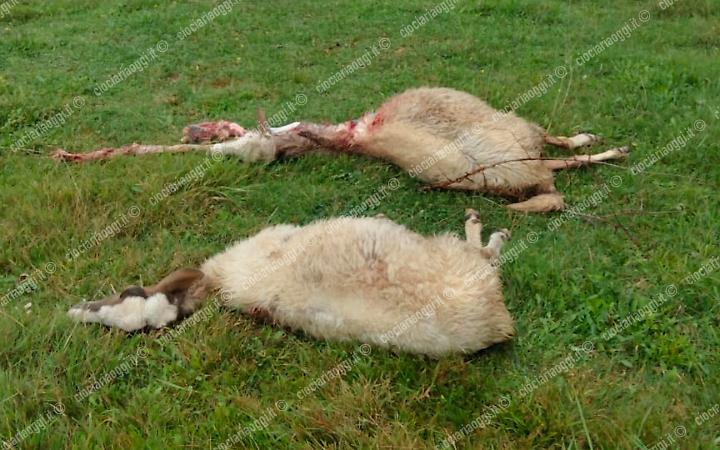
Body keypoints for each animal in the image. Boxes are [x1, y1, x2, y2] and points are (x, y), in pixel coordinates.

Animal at [67, 210, 515, 357]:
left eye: (124, 292)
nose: (75, 311)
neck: (218, 283)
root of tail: (497, 322)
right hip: (457, 261)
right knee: (484, 256)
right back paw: (485, 232)